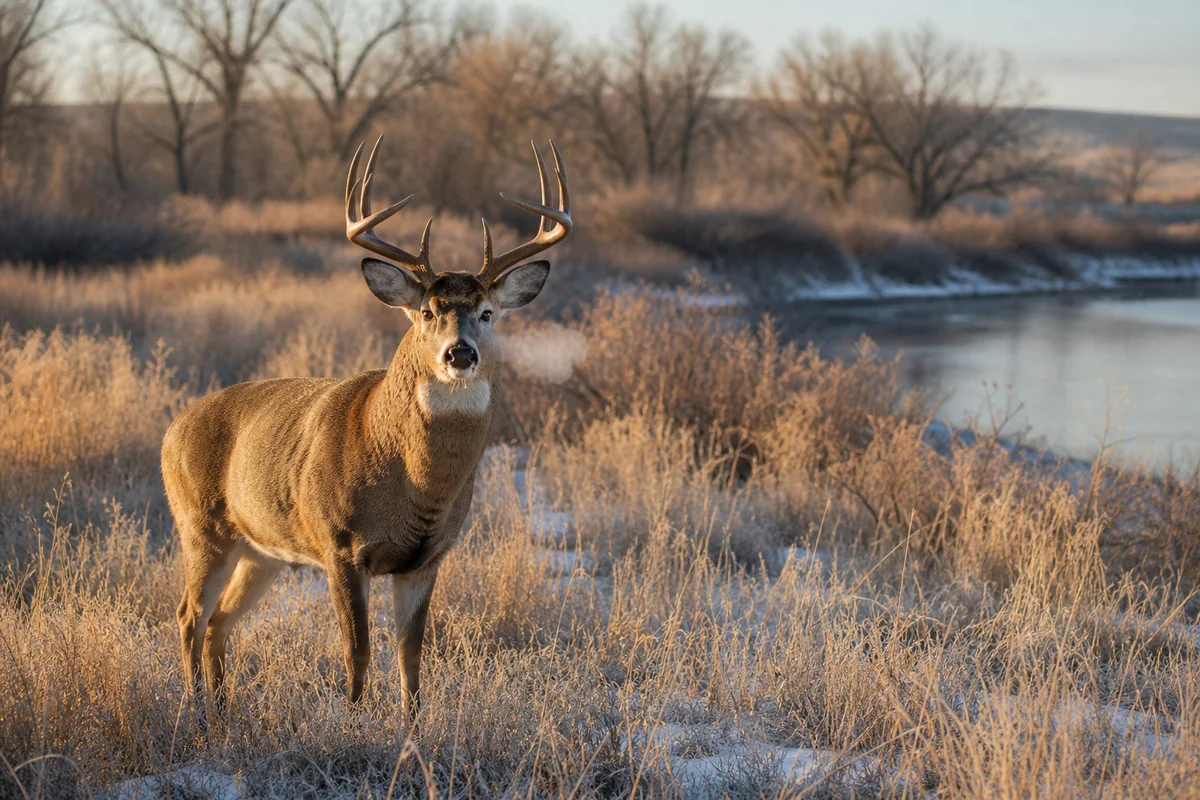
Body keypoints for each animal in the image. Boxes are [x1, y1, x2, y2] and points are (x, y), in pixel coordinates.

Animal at [160, 137, 572, 720]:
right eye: (427, 311)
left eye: (488, 312)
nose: (460, 353)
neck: (411, 480)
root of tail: (172, 428)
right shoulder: (339, 544)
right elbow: (357, 651)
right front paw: (354, 722)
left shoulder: (427, 559)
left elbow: (411, 658)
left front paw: (412, 728)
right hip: (201, 527)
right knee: (188, 615)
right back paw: (194, 707)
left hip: (261, 550)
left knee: (219, 622)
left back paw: (220, 708)